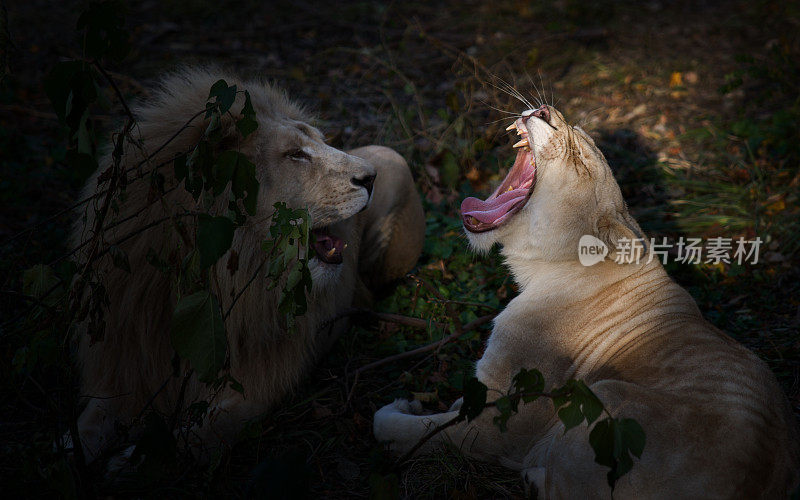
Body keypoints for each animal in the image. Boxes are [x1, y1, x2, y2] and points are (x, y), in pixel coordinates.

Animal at [70, 68, 424, 462]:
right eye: (295, 155)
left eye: (319, 142)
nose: (370, 177)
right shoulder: (127, 365)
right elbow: (84, 429)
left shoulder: (254, 390)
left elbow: (187, 442)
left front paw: (130, 460)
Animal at [376, 104, 800, 496]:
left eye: (578, 158)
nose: (544, 110)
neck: (546, 269)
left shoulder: (502, 422)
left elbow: (420, 430)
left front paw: (397, 412)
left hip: (607, 392)